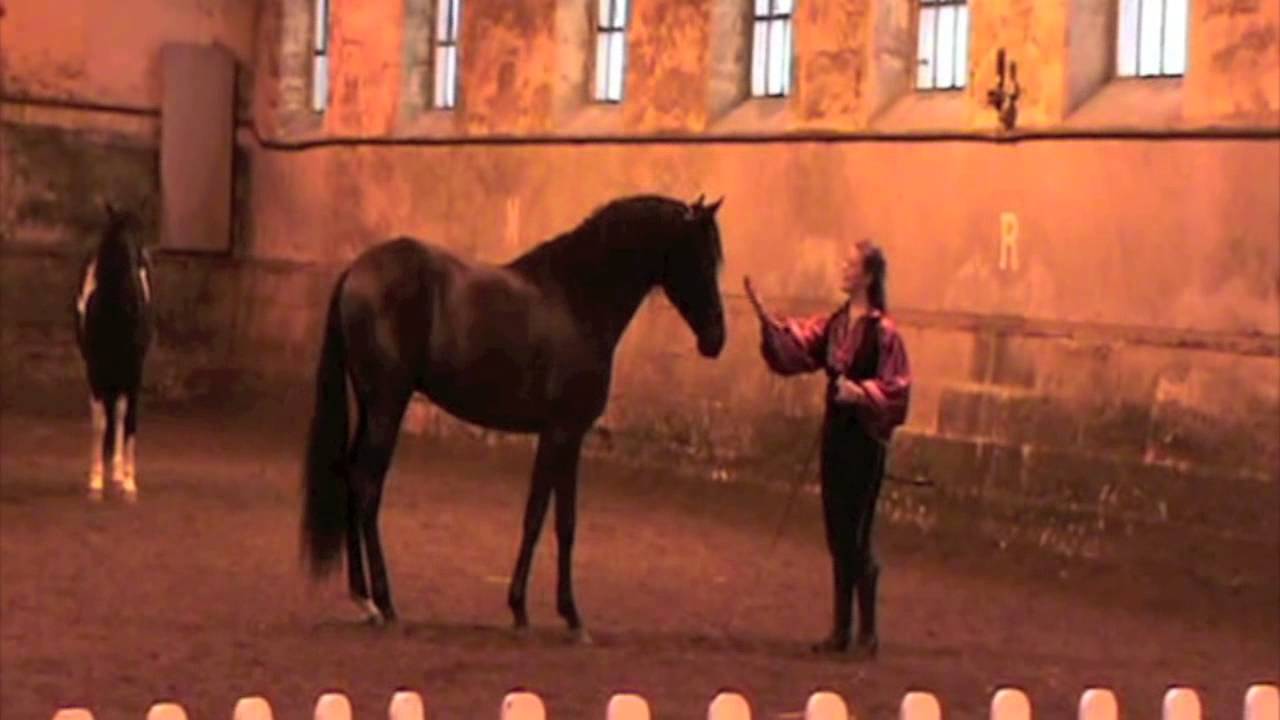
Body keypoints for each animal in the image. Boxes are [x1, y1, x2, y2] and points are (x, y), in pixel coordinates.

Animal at [74, 203, 154, 503]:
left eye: (137, 252)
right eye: (114, 248)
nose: (135, 304)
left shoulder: (134, 372)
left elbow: (128, 422)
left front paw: (128, 481)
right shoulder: (95, 370)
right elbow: (99, 421)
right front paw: (96, 480)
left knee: (119, 415)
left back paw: (119, 473)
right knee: (107, 416)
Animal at [300, 193, 727, 641]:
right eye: (697, 255)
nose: (716, 338)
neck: (578, 298)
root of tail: (357, 270)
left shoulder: (559, 436)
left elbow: (548, 519)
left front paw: (536, 610)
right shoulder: (563, 433)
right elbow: (552, 520)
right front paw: (560, 615)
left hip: (371, 407)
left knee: (350, 478)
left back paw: (362, 598)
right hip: (388, 406)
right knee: (367, 486)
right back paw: (383, 603)